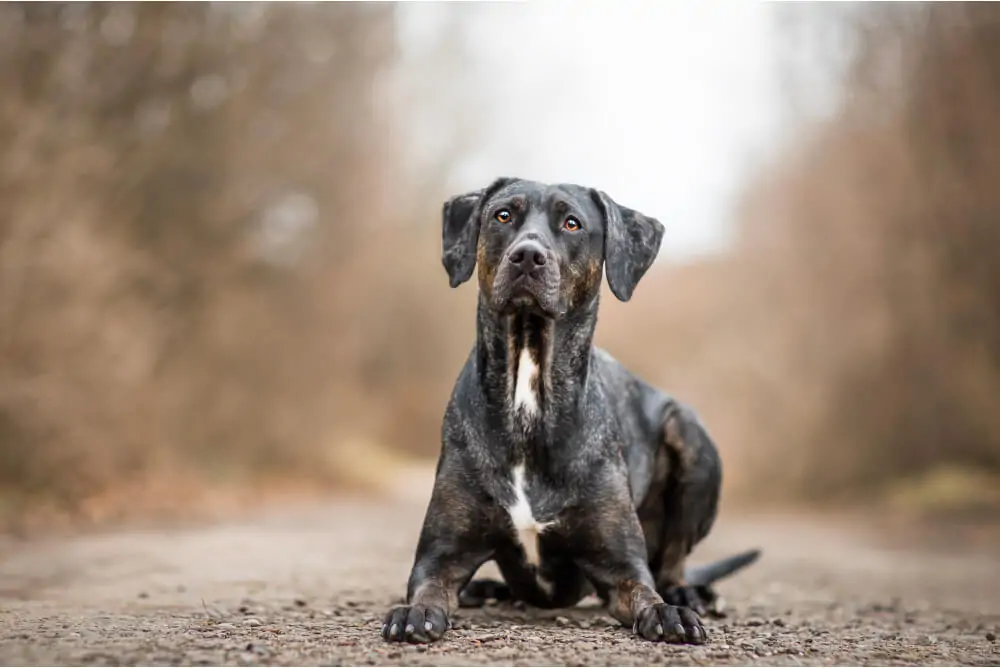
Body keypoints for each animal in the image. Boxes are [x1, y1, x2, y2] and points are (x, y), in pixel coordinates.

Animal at [380, 175, 756, 644]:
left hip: (689, 437)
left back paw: (688, 594)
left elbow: (644, 590)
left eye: (572, 223)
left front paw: (667, 613)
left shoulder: (620, 566)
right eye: (503, 215)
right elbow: (427, 587)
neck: (529, 392)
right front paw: (414, 613)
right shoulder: (441, 555)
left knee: (672, 564)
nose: (527, 255)